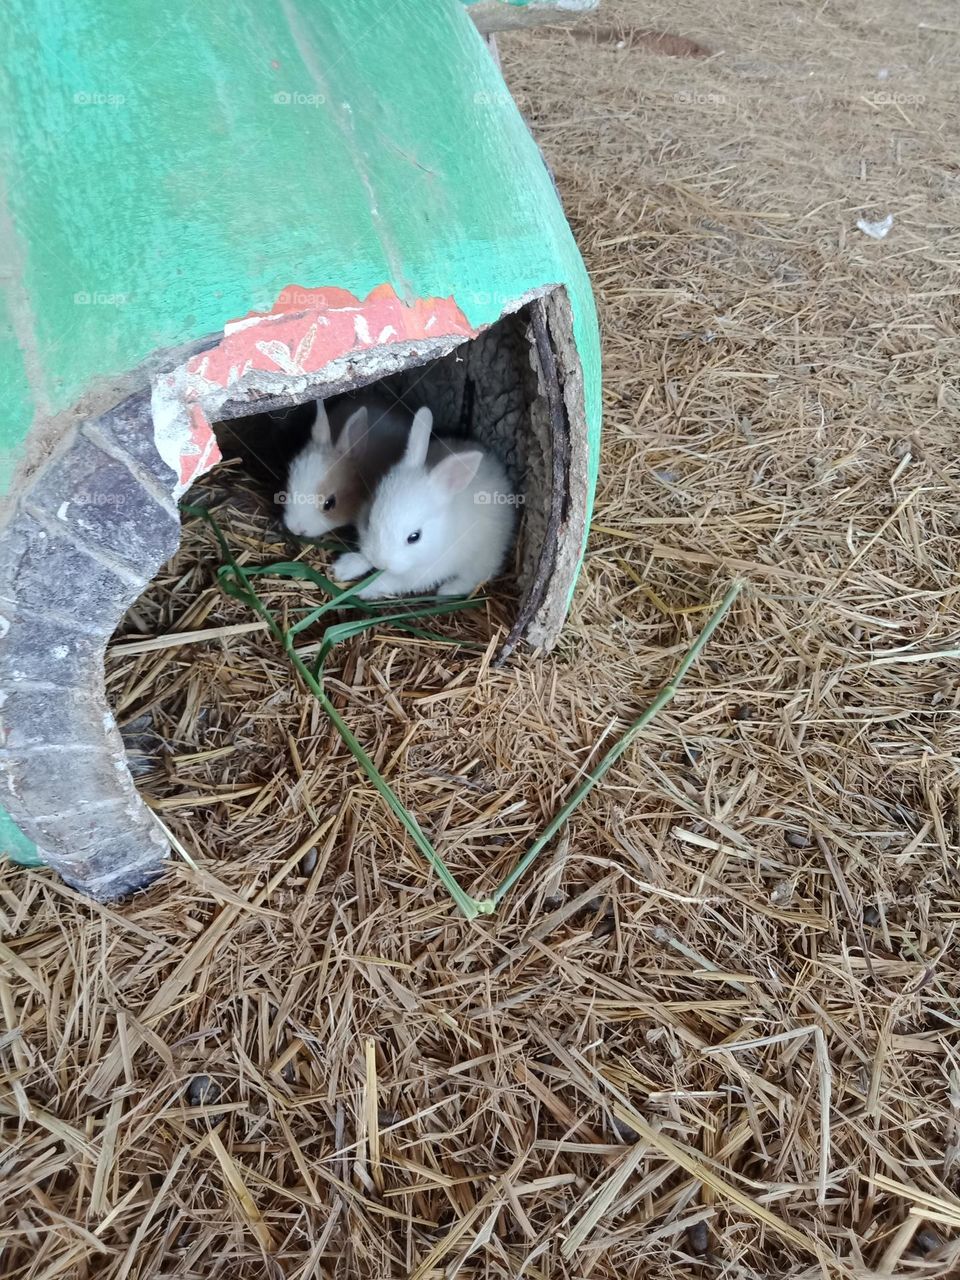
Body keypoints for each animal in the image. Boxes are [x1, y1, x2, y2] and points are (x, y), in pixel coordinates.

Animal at [332, 406, 517, 598]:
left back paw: (448, 590)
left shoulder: (420, 574)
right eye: (368, 519)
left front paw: (362, 591)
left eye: (414, 537)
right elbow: (364, 558)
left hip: (482, 558)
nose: (381, 562)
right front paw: (343, 568)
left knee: (474, 577)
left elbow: (387, 581)